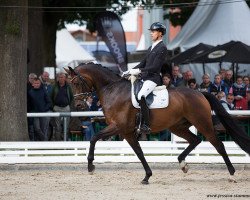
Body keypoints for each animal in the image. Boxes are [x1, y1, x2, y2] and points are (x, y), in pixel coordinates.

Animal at [65, 63, 250, 184]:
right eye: (69, 84)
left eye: (76, 83)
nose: (79, 106)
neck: (113, 90)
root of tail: (200, 93)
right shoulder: (127, 132)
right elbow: (139, 152)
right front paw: (147, 176)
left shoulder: (119, 127)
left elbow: (94, 138)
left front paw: (90, 166)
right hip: (177, 126)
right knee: (195, 140)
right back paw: (183, 164)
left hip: (202, 123)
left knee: (218, 144)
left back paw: (232, 174)